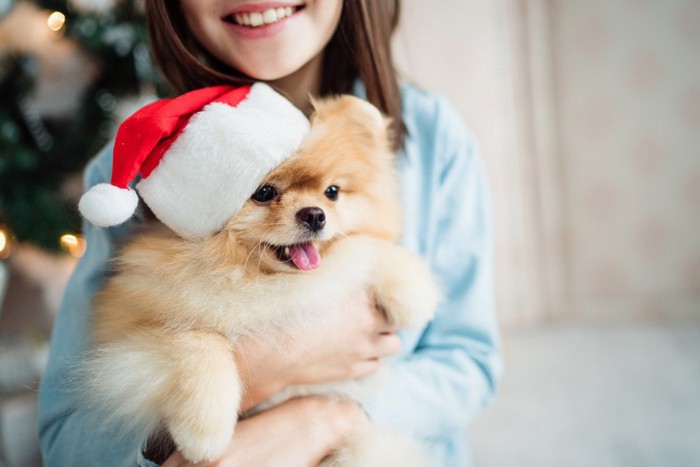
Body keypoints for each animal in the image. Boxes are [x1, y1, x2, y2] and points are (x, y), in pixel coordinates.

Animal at [83, 94, 438, 464]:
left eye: (332, 192)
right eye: (265, 193)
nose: (316, 215)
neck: (258, 278)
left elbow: (368, 250)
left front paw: (413, 295)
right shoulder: (122, 338)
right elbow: (197, 341)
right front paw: (204, 431)